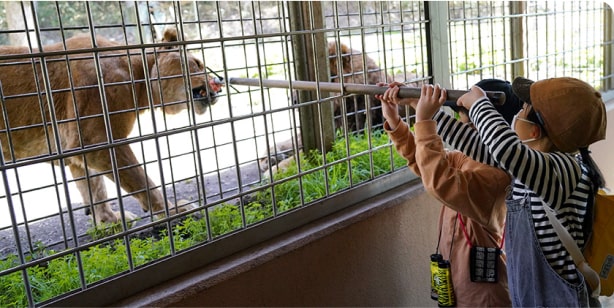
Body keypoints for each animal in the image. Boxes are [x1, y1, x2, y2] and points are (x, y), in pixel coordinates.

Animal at [0, 28, 225, 226]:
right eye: (197, 63)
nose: (219, 83)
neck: (139, 78)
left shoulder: (77, 148)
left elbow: (93, 188)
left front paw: (109, 221)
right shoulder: (96, 140)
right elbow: (141, 180)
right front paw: (173, 211)